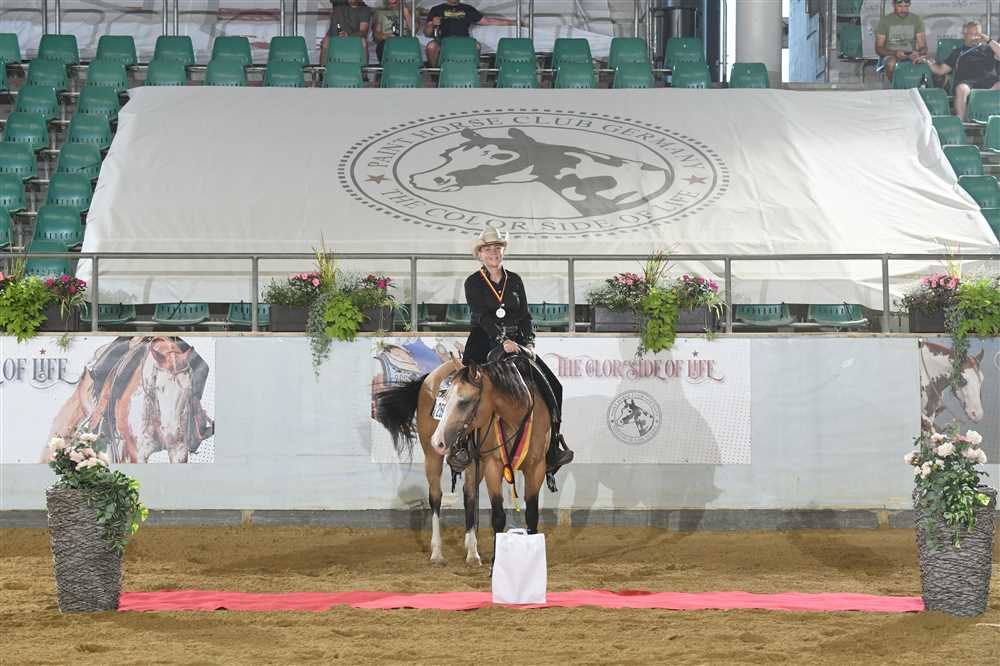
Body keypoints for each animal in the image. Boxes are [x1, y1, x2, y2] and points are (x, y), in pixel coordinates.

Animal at [374, 354, 551, 567]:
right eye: (445, 397)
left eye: (465, 401)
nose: (437, 441)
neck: (516, 420)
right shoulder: (493, 466)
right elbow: (498, 515)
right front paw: (496, 561)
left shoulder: (536, 468)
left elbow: (531, 514)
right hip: (433, 457)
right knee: (436, 497)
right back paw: (437, 553)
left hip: (474, 462)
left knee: (469, 496)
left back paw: (472, 552)